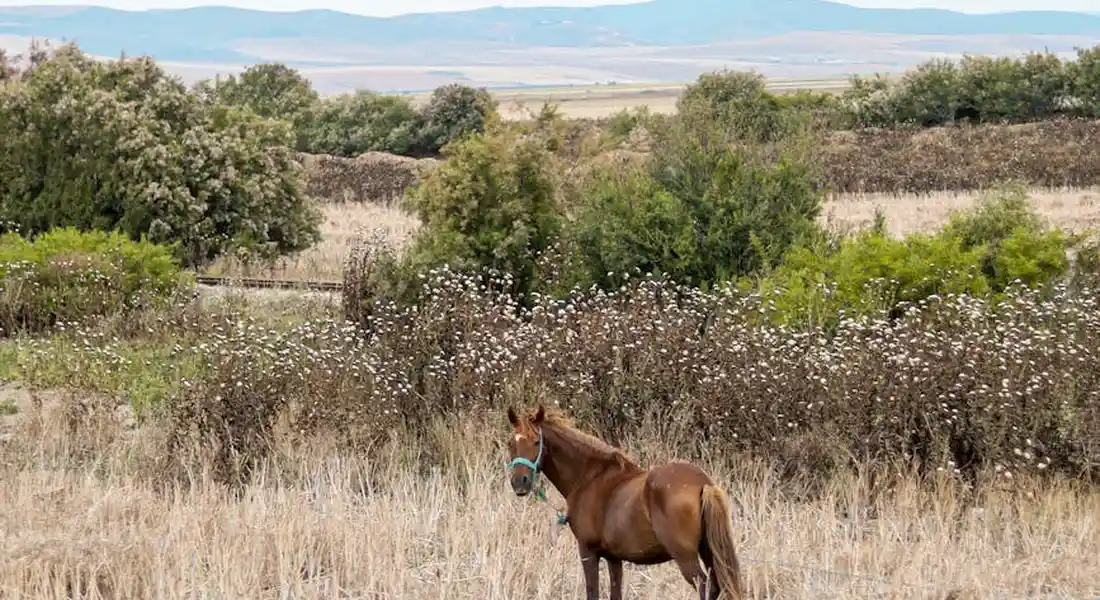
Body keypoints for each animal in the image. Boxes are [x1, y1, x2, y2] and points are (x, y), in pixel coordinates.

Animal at [504, 404, 744, 600]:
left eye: (536, 441)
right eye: (510, 443)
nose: (519, 482)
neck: (589, 477)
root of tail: (702, 483)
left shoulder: (588, 552)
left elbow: (593, 592)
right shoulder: (614, 558)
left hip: (686, 557)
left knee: (705, 586)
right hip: (709, 552)